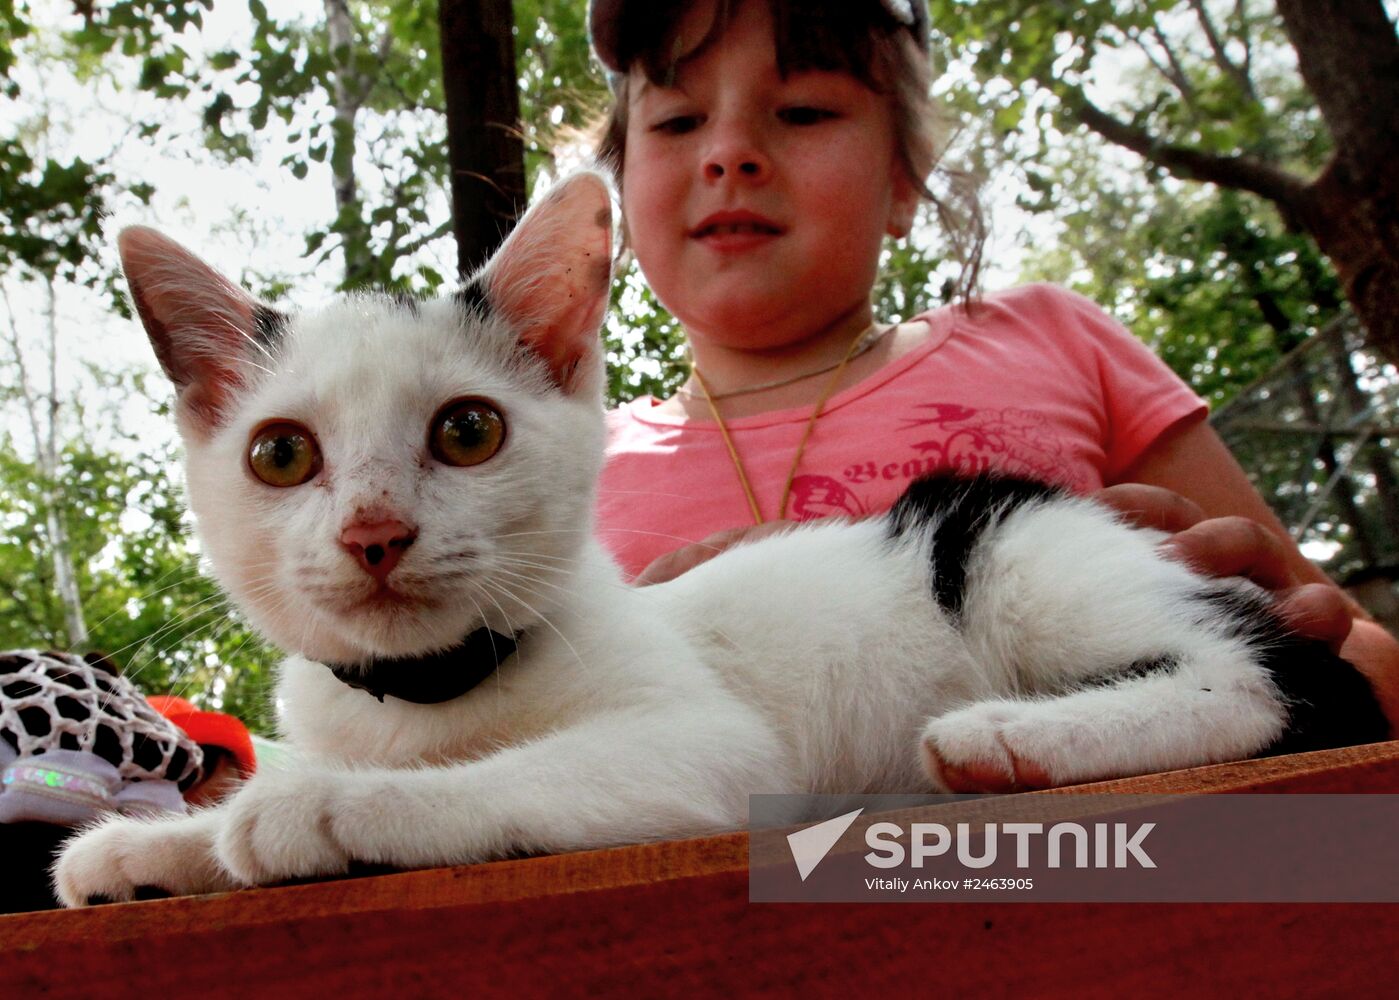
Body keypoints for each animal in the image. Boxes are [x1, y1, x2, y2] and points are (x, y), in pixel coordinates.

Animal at [54, 172, 1387, 906]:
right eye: (282, 455)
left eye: (467, 431)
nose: (376, 531)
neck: (428, 694)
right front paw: (149, 846)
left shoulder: (707, 748)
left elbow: (505, 779)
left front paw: (315, 807)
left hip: (1012, 540)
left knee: (1261, 678)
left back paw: (1003, 738)